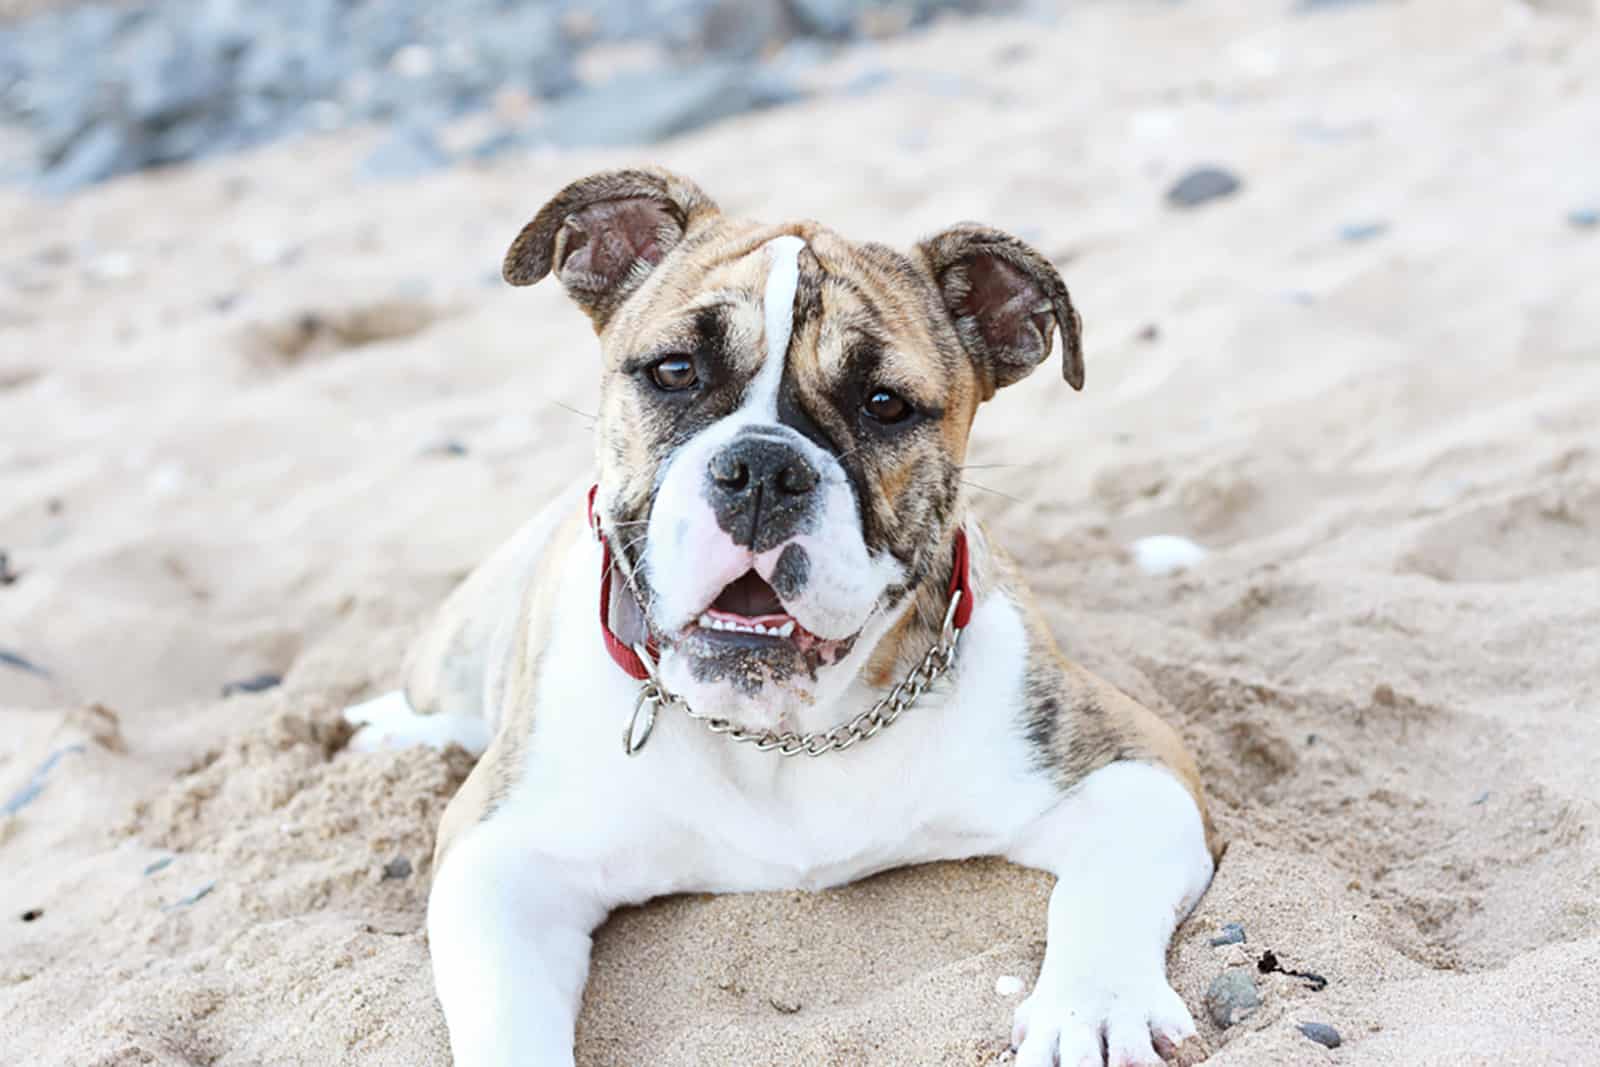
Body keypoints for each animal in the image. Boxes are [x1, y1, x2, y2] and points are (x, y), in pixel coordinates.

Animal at [347, 168, 1209, 1067]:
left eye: (884, 404)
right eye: (675, 370)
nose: (762, 468)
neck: (781, 737)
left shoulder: (1131, 766)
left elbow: (1105, 889)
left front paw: (1093, 1007)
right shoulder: (502, 856)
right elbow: (509, 1014)